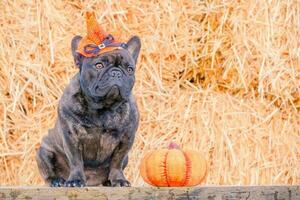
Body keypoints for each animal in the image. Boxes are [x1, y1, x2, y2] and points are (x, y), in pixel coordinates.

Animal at [35, 35, 141, 187]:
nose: (116, 73)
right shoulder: (71, 136)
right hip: (44, 152)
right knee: (48, 171)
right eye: (99, 65)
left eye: (130, 69)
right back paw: (56, 181)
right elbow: (76, 160)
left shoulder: (126, 139)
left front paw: (119, 180)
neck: (103, 108)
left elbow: (117, 162)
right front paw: (75, 180)